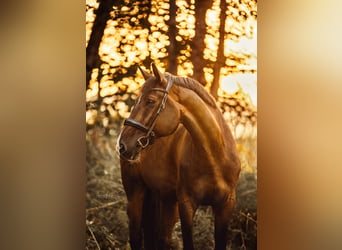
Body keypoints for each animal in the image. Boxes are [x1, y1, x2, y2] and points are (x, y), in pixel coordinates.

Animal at [117, 63, 240, 249]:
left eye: (150, 101)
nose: (123, 145)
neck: (214, 157)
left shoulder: (226, 205)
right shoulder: (186, 204)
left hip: (167, 199)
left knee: (162, 238)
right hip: (135, 194)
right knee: (136, 237)